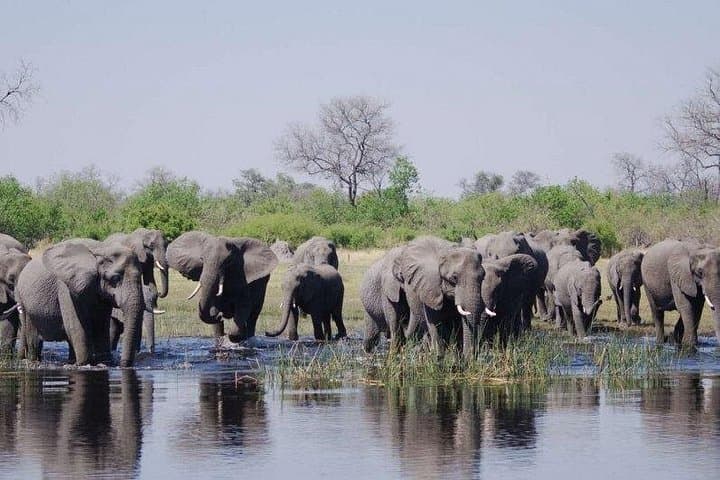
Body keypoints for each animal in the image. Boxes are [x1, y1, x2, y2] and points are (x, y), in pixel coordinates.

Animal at [15, 240, 145, 366]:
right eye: (115, 278)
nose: (122, 364)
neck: (100, 250)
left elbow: (101, 325)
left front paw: (105, 363)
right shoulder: (66, 287)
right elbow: (75, 325)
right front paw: (85, 364)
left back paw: (71, 361)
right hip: (23, 301)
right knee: (33, 335)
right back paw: (34, 361)